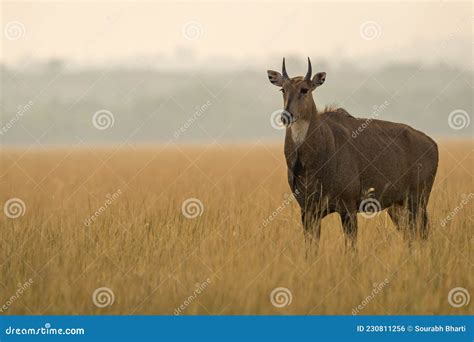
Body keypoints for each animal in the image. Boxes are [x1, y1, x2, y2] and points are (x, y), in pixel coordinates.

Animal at [268, 58, 438, 251]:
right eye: (283, 89)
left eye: (305, 89)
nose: (286, 116)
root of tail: (432, 143)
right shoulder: (308, 211)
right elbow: (311, 249)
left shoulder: (348, 208)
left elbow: (351, 249)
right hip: (398, 206)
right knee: (409, 236)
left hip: (418, 201)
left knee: (423, 233)